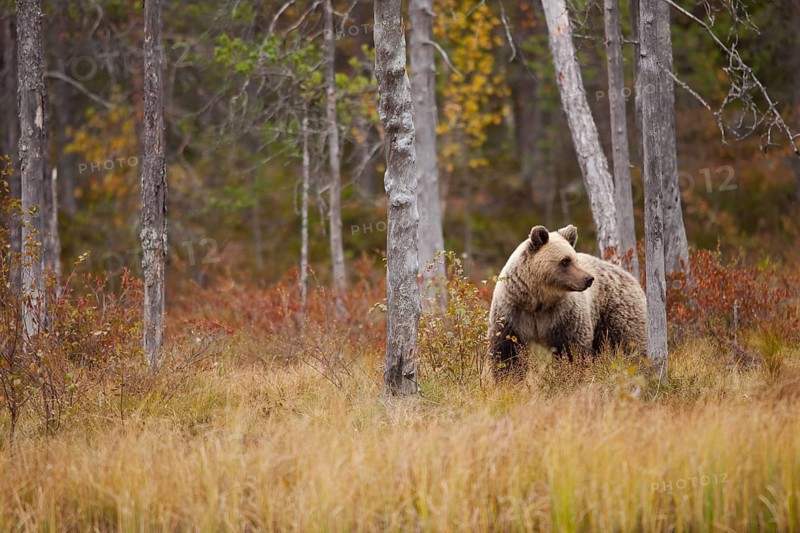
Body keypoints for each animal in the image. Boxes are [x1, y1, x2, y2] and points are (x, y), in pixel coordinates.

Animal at [487, 224, 647, 378]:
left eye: (575, 259)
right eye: (565, 261)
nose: (589, 279)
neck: (538, 300)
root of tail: (630, 277)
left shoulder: (563, 314)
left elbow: (571, 347)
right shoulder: (513, 312)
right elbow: (507, 350)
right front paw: (508, 377)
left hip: (617, 311)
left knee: (630, 342)